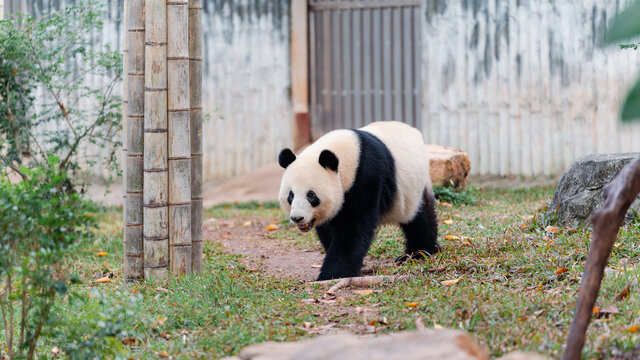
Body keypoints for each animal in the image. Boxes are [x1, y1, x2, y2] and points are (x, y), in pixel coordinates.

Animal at [278, 121, 438, 282]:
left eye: (311, 195)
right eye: (291, 195)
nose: (297, 218)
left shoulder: (366, 178)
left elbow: (353, 229)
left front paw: (332, 275)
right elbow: (329, 228)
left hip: (413, 187)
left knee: (419, 217)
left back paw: (419, 253)